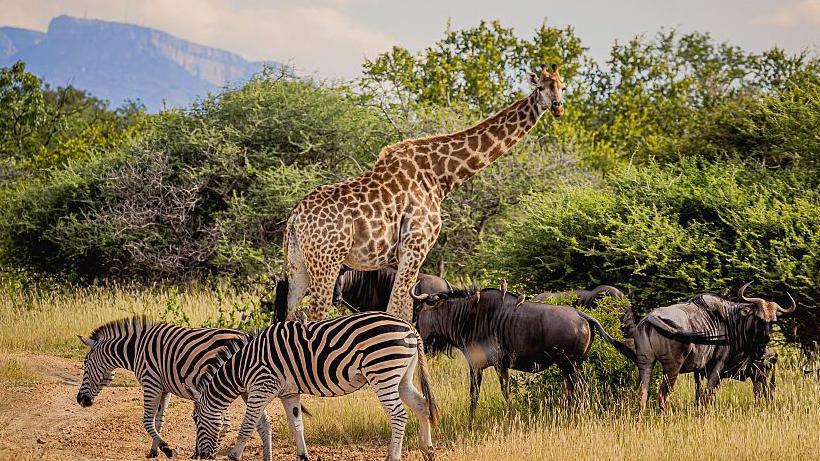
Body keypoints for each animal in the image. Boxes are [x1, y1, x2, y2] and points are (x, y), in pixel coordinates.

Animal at [76, 317, 274, 459]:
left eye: (85, 365)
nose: (80, 400)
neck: (136, 349)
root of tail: (245, 336)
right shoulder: (164, 388)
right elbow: (158, 420)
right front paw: (154, 450)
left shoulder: (151, 383)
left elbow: (147, 420)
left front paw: (166, 448)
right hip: (245, 388)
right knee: (261, 422)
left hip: (221, 386)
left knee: (224, 422)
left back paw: (206, 453)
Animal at [188, 311, 438, 461]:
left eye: (197, 420)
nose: (200, 456)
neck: (243, 367)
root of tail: (410, 327)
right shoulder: (289, 393)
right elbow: (296, 425)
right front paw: (303, 455)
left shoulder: (262, 387)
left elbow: (247, 425)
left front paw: (234, 455)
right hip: (402, 377)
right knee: (421, 405)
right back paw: (427, 448)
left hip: (383, 372)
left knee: (398, 415)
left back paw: (393, 456)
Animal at [279, 64, 566, 321]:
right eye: (540, 87)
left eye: (562, 87)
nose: (558, 107)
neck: (439, 178)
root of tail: (295, 218)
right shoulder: (415, 247)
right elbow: (398, 311)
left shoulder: (407, 253)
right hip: (327, 261)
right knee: (314, 315)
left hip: (298, 263)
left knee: (288, 315)